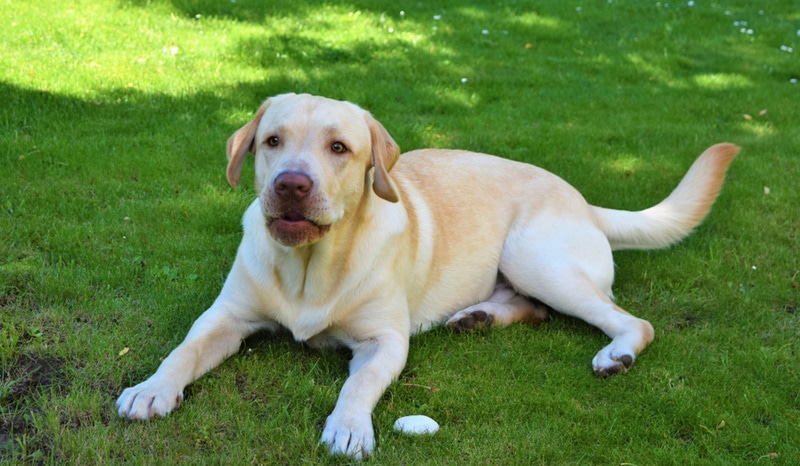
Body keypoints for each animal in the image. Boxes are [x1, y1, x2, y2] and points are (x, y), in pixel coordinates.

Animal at [115, 93, 740, 456]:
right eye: (272, 141)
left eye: (339, 148)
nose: (291, 184)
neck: (310, 267)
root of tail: (584, 201)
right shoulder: (226, 317)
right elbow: (183, 351)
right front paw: (151, 388)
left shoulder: (384, 341)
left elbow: (358, 383)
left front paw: (348, 426)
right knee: (533, 308)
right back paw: (478, 317)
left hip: (536, 258)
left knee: (630, 320)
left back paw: (617, 353)